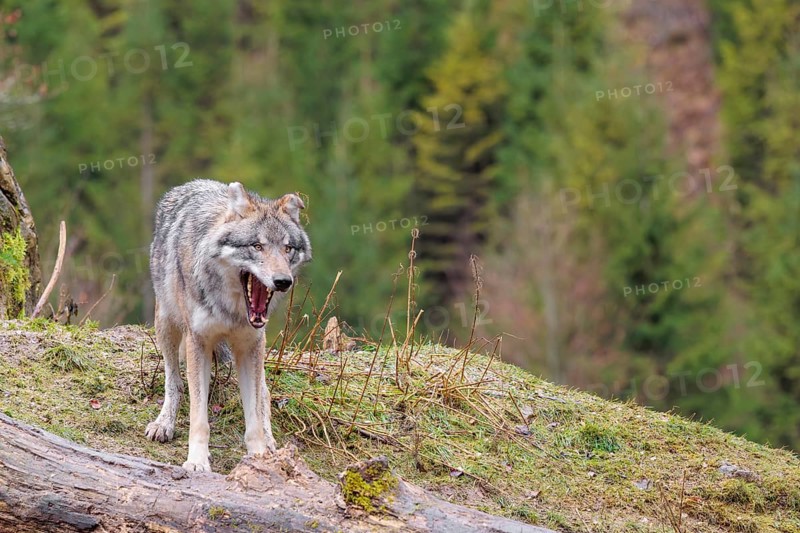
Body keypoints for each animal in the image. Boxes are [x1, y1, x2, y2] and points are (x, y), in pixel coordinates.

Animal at [144, 179, 311, 472]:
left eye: (287, 248)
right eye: (257, 246)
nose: (283, 281)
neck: (231, 309)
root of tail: (191, 184)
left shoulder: (251, 346)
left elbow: (254, 416)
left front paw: (259, 457)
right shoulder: (198, 341)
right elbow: (199, 417)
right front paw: (197, 461)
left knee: (265, 393)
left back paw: (271, 443)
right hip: (166, 323)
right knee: (174, 382)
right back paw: (164, 424)